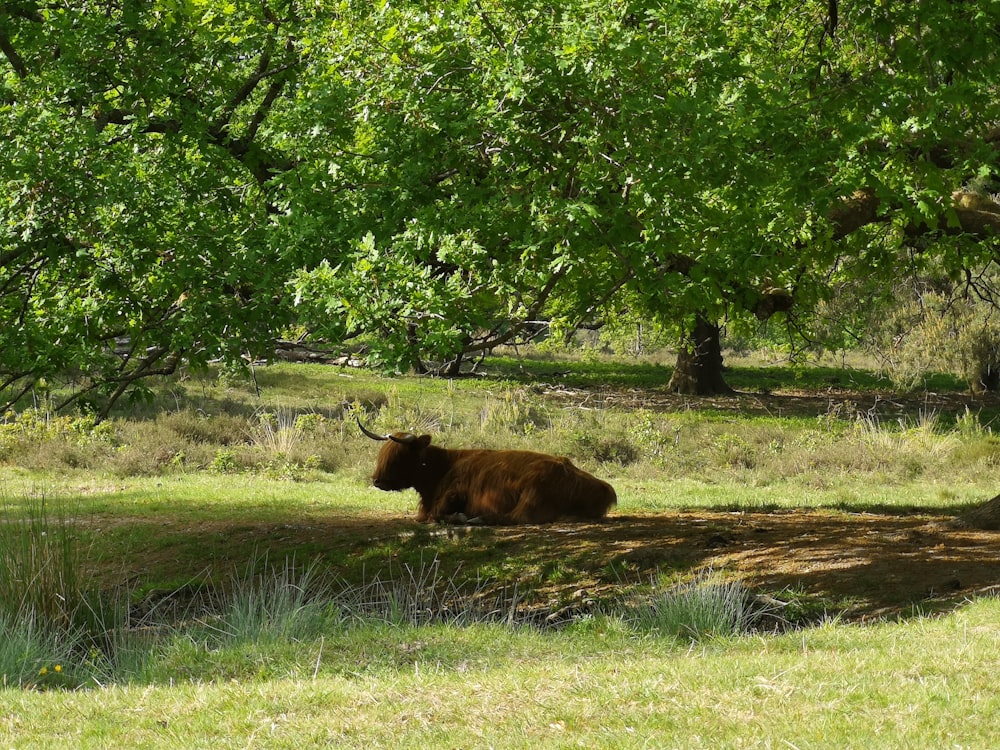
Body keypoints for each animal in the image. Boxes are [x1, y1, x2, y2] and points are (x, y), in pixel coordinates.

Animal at [356, 420, 612, 524]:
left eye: (400, 457)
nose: (377, 480)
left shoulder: (453, 495)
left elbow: (437, 516)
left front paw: (459, 517)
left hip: (532, 494)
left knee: (516, 518)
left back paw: (479, 518)